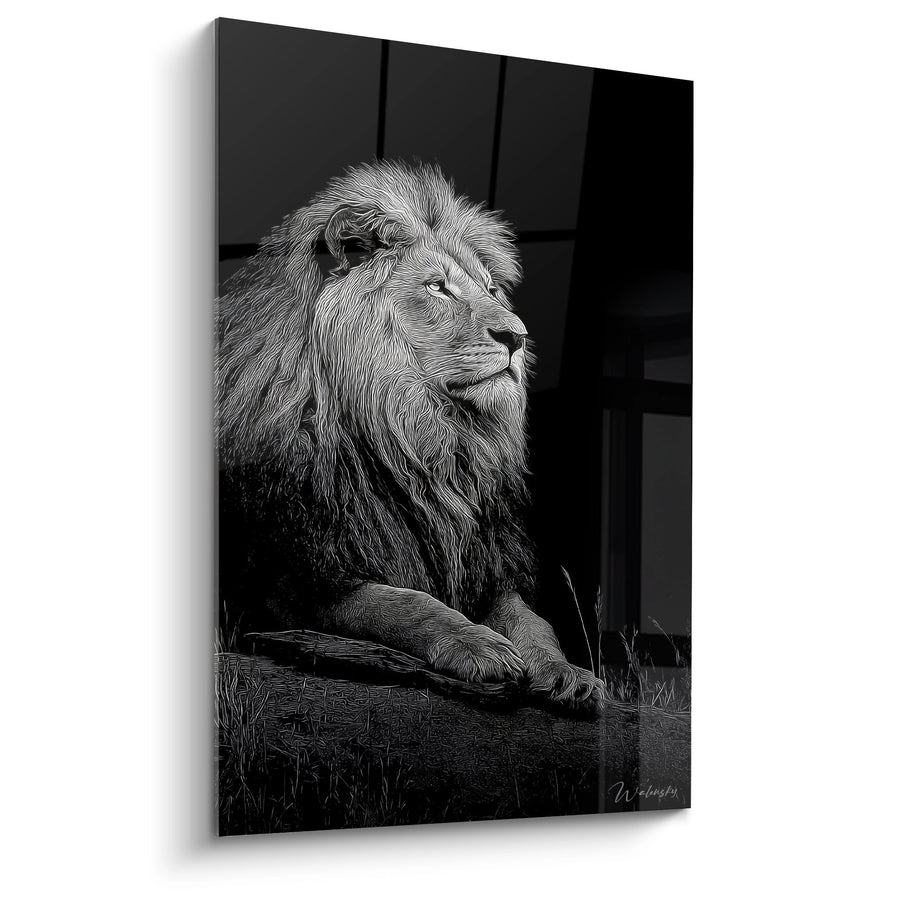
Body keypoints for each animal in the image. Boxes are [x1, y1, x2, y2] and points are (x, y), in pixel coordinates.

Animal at [217, 159, 603, 712]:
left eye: (491, 290)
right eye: (437, 287)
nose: (518, 336)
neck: (424, 444)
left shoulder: (487, 566)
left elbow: (534, 622)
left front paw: (568, 673)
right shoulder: (298, 577)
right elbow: (404, 604)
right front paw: (480, 646)